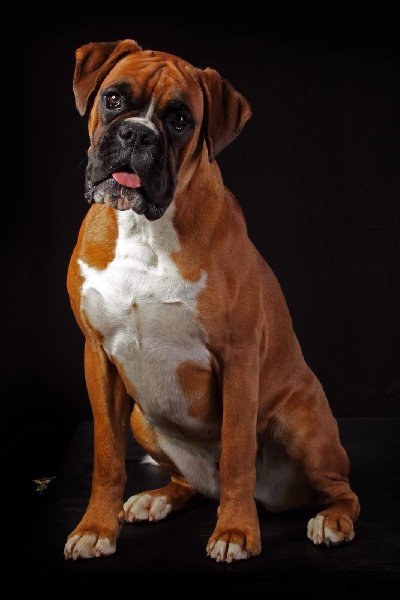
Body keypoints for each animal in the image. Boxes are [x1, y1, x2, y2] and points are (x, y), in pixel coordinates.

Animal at [64, 38, 360, 563]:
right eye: (114, 99)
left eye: (181, 120)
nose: (137, 135)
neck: (145, 227)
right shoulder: (97, 355)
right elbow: (105, 456)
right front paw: (96, 527)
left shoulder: (238, 358)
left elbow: (239, 449)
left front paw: (236, 531)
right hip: (141, 417)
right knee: (191, 484)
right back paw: (157, 498)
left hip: (301, 425)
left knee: (340, 489)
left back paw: (331, 519)